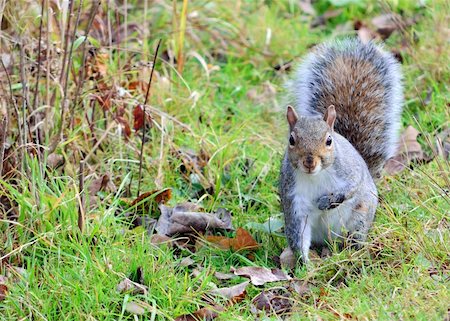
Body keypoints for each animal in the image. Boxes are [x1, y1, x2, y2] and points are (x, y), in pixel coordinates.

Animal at [280, 38, 402, 262]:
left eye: (329, 140)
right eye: (291, 140)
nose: (309, 162)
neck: (316, 176)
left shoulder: (350, 170)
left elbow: (351, 186)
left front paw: (328, 200)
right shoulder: (295, 200)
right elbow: (298, 235)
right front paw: (305, 264)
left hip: (361, 215)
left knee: (356, 235)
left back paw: (353, 250)